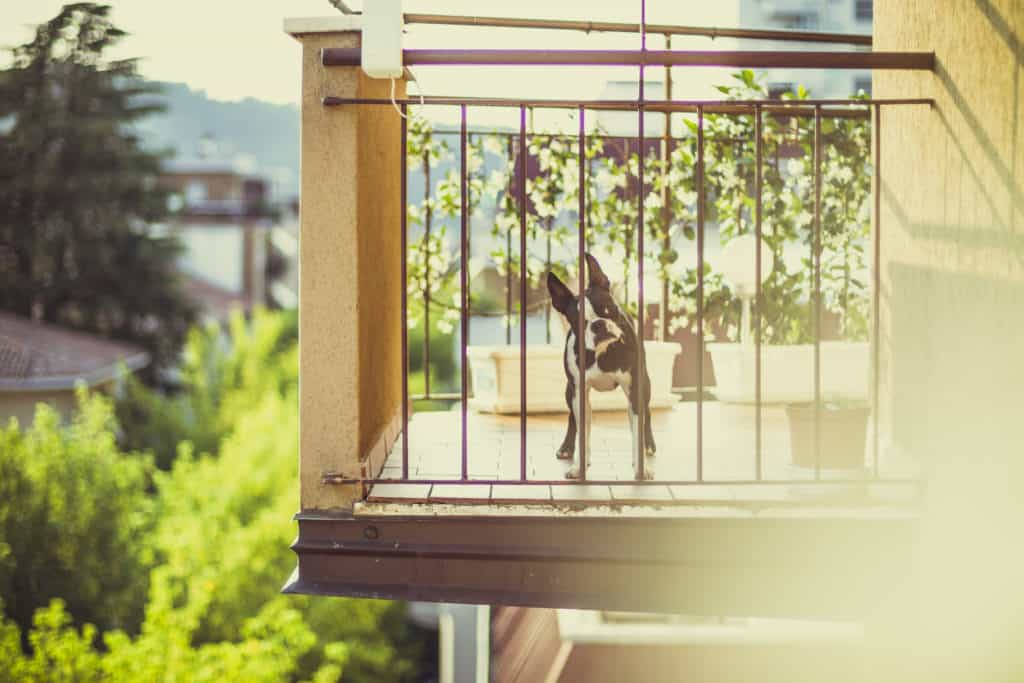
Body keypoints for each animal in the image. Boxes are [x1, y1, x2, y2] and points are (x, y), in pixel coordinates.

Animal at [548, 253, 659, 483]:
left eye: (607, 309)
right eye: (578, 321)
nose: (598, 324)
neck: (603, 352)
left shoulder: (636, 389)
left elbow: (637, 427)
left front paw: (641, 467)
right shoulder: (578, 392)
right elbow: (582, 429)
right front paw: (579, 466)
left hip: (646, 384)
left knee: (647, 413)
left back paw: (648, 444)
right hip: (569, 391)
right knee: (573, 418)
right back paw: (567, 448)